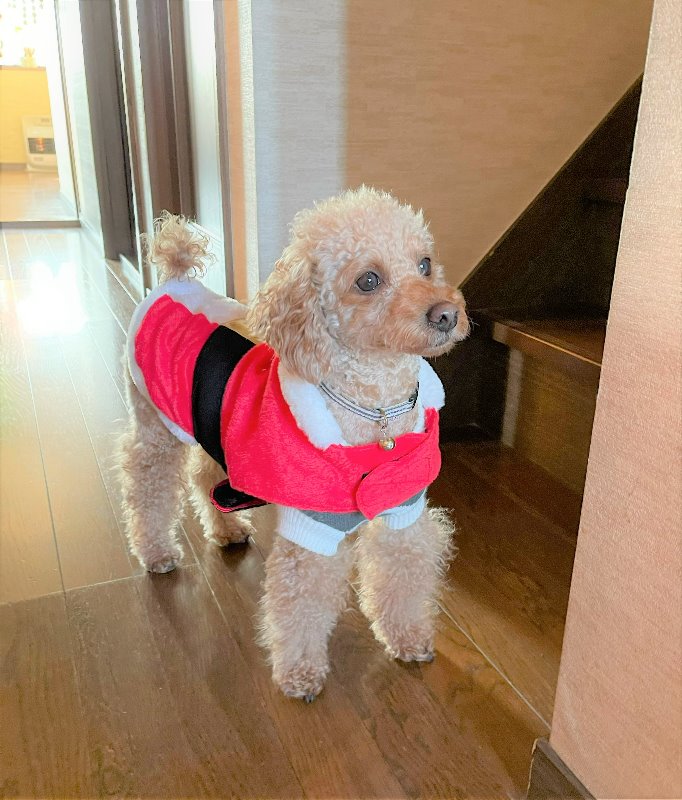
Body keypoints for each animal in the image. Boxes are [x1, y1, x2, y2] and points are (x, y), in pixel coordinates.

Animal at [117, 186, 470, 700]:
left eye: (425, 264)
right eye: (368, 280)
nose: (447, 314)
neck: (376, 412)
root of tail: (175, 278)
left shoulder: (403, 511)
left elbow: (401, 578)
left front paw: (407, 638)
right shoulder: (312, 528)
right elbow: (300, 606)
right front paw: (300, 673)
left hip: (211, 429)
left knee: (203, 475)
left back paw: (226, 529)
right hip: (155, 426)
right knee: (149, 486)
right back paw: (157, 552)